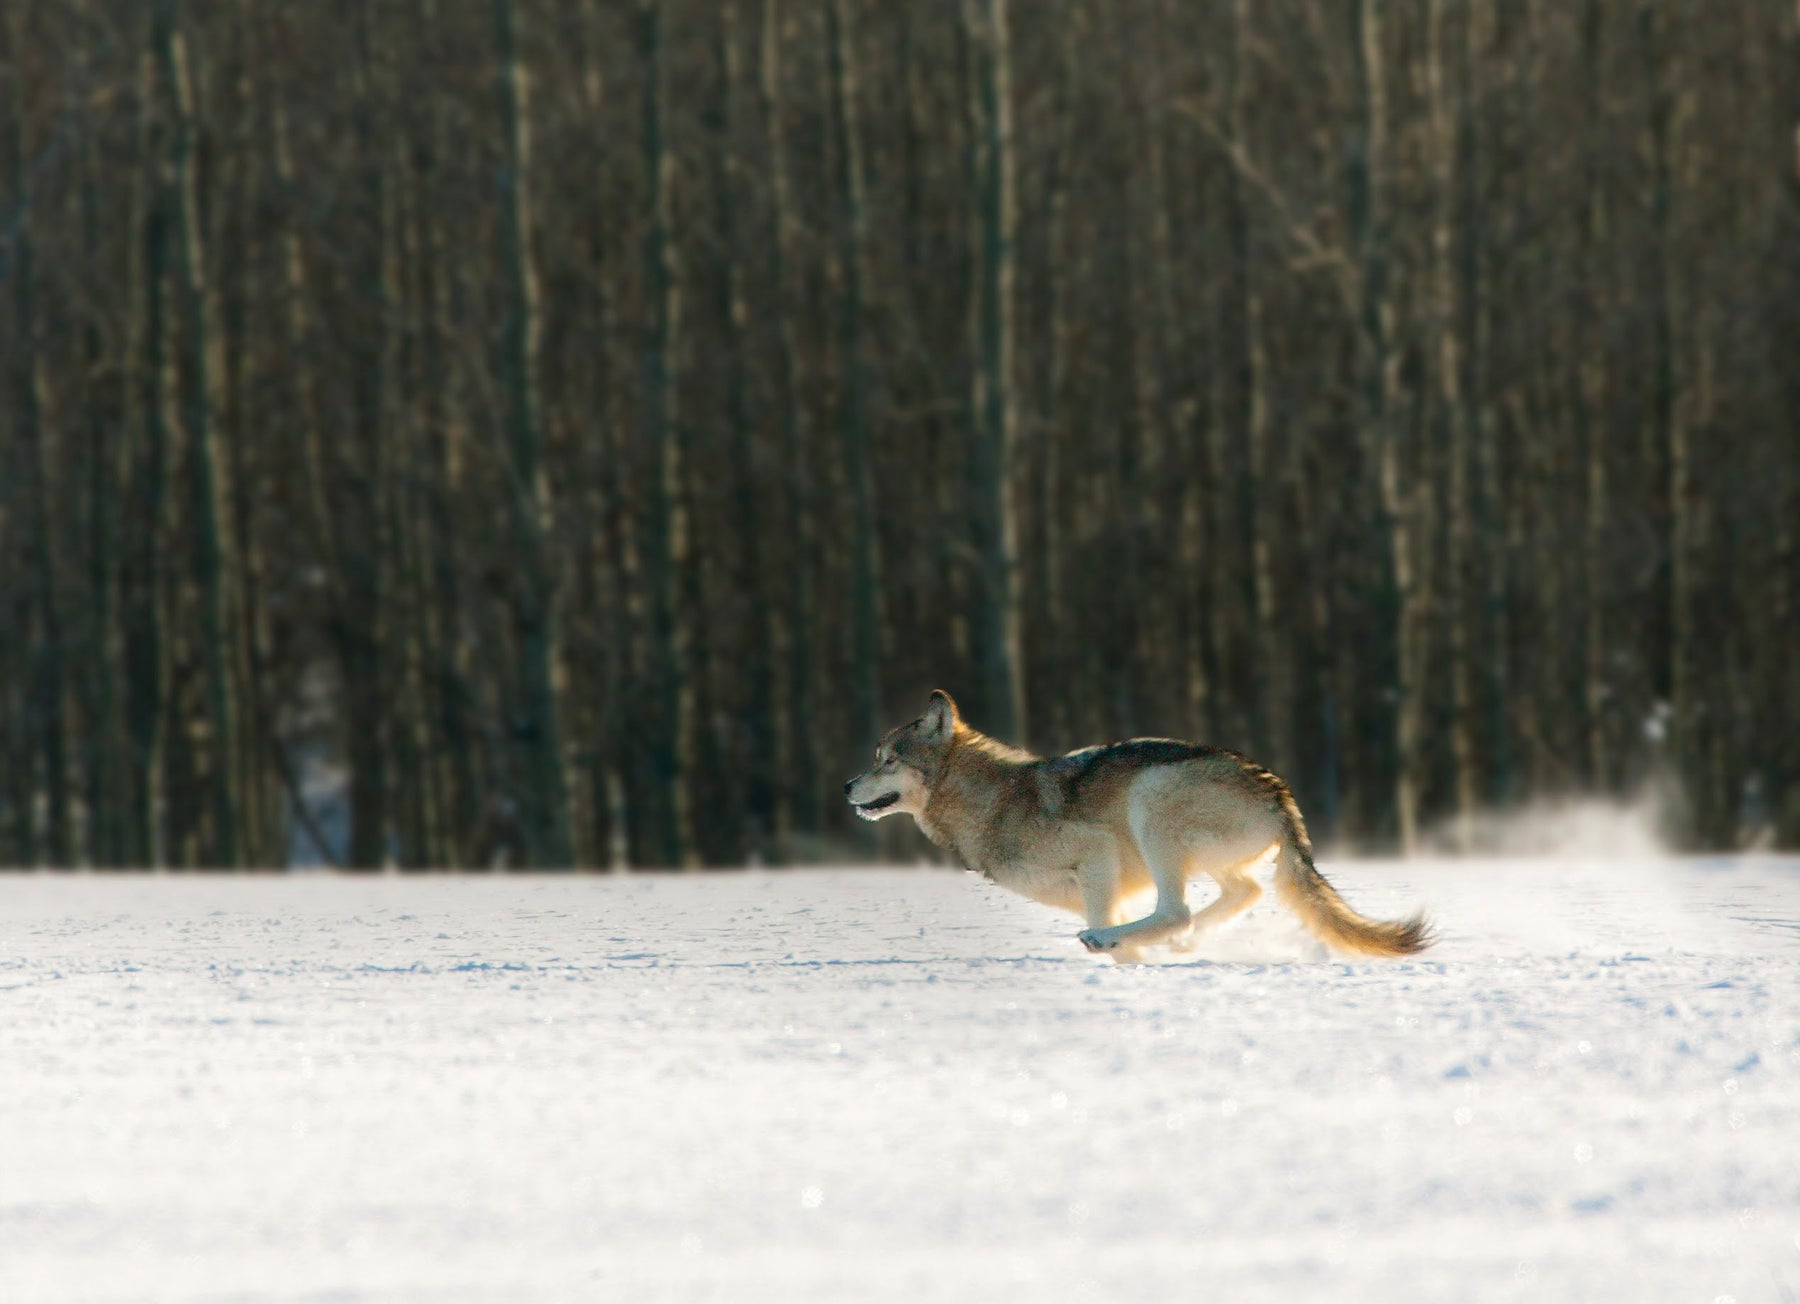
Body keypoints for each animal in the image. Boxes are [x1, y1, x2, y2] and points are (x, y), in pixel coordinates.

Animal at [842, 691, 1432, 958]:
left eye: (886, 760)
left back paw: (1115, 938)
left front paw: (1115, 955)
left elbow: (1119, 922)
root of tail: (1278, 792)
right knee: (1239, 895)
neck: (991, 801)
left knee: (1177, 910)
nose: (846, 787)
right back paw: (1184, 944)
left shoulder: (1098, 855)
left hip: (1151, 800)